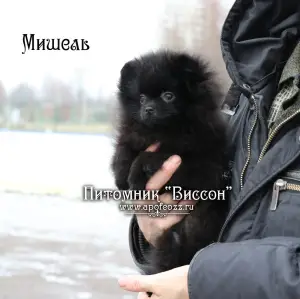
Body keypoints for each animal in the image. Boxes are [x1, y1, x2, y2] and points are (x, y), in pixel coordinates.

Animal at [111, 49, 229, 276]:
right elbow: (124, 149)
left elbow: (153, 155)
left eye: (168, 96)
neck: (163, 131)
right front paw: (121, 174)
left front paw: (135, 174)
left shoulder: (205, 168)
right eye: (141, 99)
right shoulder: (134, 134)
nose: (148, 109)